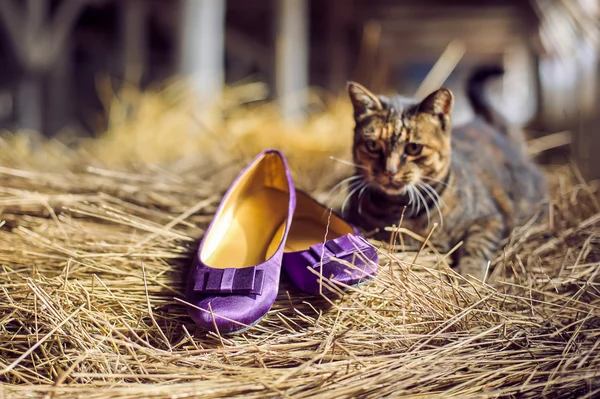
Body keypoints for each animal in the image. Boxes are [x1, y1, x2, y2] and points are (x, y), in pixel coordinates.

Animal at [344, 67, 548, 282]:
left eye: (414, 147)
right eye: (372, 145)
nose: (390, 170)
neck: (399, 210)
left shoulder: (489, 219)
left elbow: (475, 248)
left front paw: (470, 276)